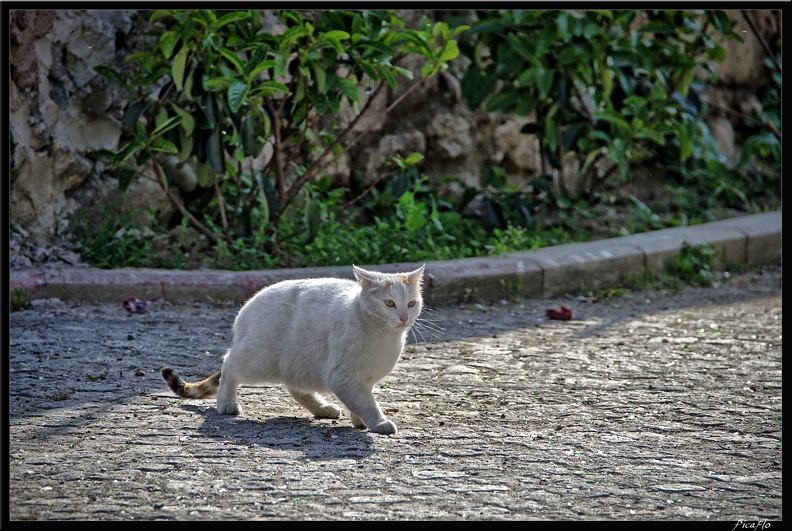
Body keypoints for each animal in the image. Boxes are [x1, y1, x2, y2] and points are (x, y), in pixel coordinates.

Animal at [158, 264, 424, 434]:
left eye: (412, 303)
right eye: (389, 303)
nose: (403, 317)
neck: (382, 336)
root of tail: (246, 308)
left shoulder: (363, 380)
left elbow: (360, 400)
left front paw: (359, 420)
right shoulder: (343, 376)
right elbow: (366, 402)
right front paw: (378, 423)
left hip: (301, 361)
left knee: (296, 388)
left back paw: (322, 408)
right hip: (260, 359)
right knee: (229, 365)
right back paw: (226, 404)